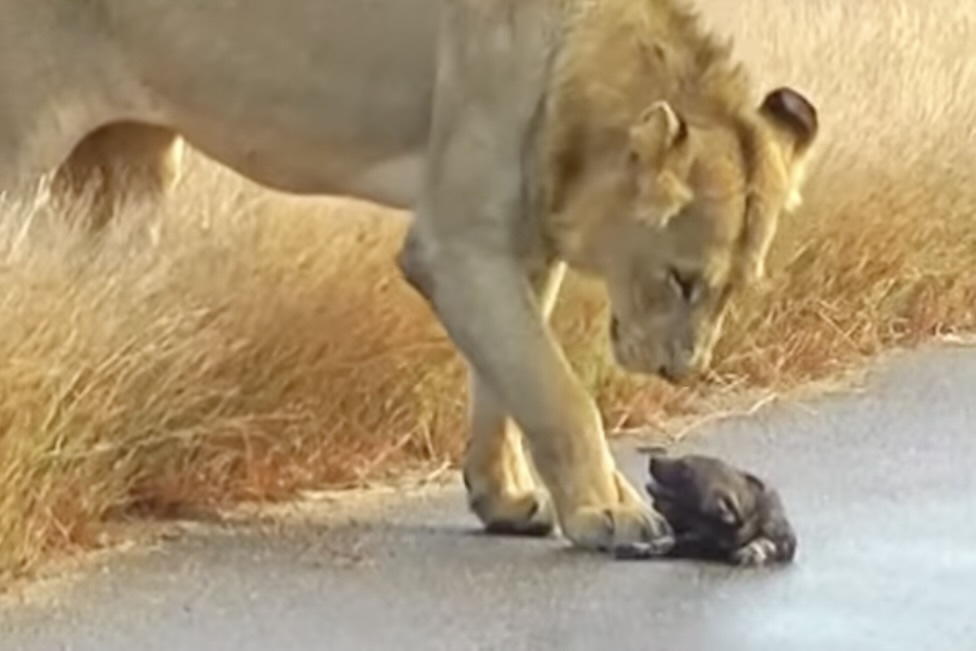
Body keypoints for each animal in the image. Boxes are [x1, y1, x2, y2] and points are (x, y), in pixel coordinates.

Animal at [0, 0, 817, 556]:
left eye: (737, 287)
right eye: (681, 279)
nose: (685, 371)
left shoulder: (514, 245)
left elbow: (505, 388)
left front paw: (507, 497)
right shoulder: (453, 245)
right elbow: (556, 391)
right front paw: (610, 513)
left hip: (132, 160)